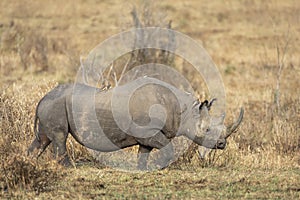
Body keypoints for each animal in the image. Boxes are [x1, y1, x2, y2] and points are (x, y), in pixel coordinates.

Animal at [27, 77, 244, 170]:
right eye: (206, 129)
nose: (222, 144)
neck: (184, 111)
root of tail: (42, 99)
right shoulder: (148, 131)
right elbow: (167, 147)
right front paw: (161, 167)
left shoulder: (147, 135)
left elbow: (143, 153)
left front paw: (142, 169)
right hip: (56, 105)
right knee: (59, 137)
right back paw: (69, 167)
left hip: (52, 105)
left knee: (43, 139)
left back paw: (28, 160)